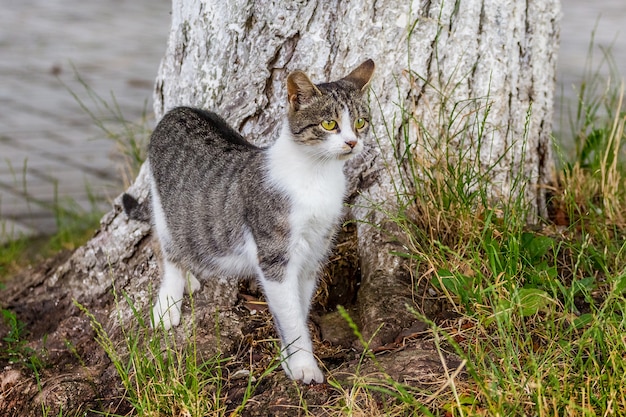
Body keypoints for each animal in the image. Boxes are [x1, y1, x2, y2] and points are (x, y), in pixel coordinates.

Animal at [124, 59, 372, 384]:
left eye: (361, 122)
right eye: (329, 124)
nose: (353, 142)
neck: (317, 176)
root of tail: (177, 111)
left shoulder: (314, 253)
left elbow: (298, 307)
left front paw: (289, 359)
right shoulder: (275, 257)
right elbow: (290, 314)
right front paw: (304, 365)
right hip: (165, 206)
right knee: (163, 244)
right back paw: (170, 297)